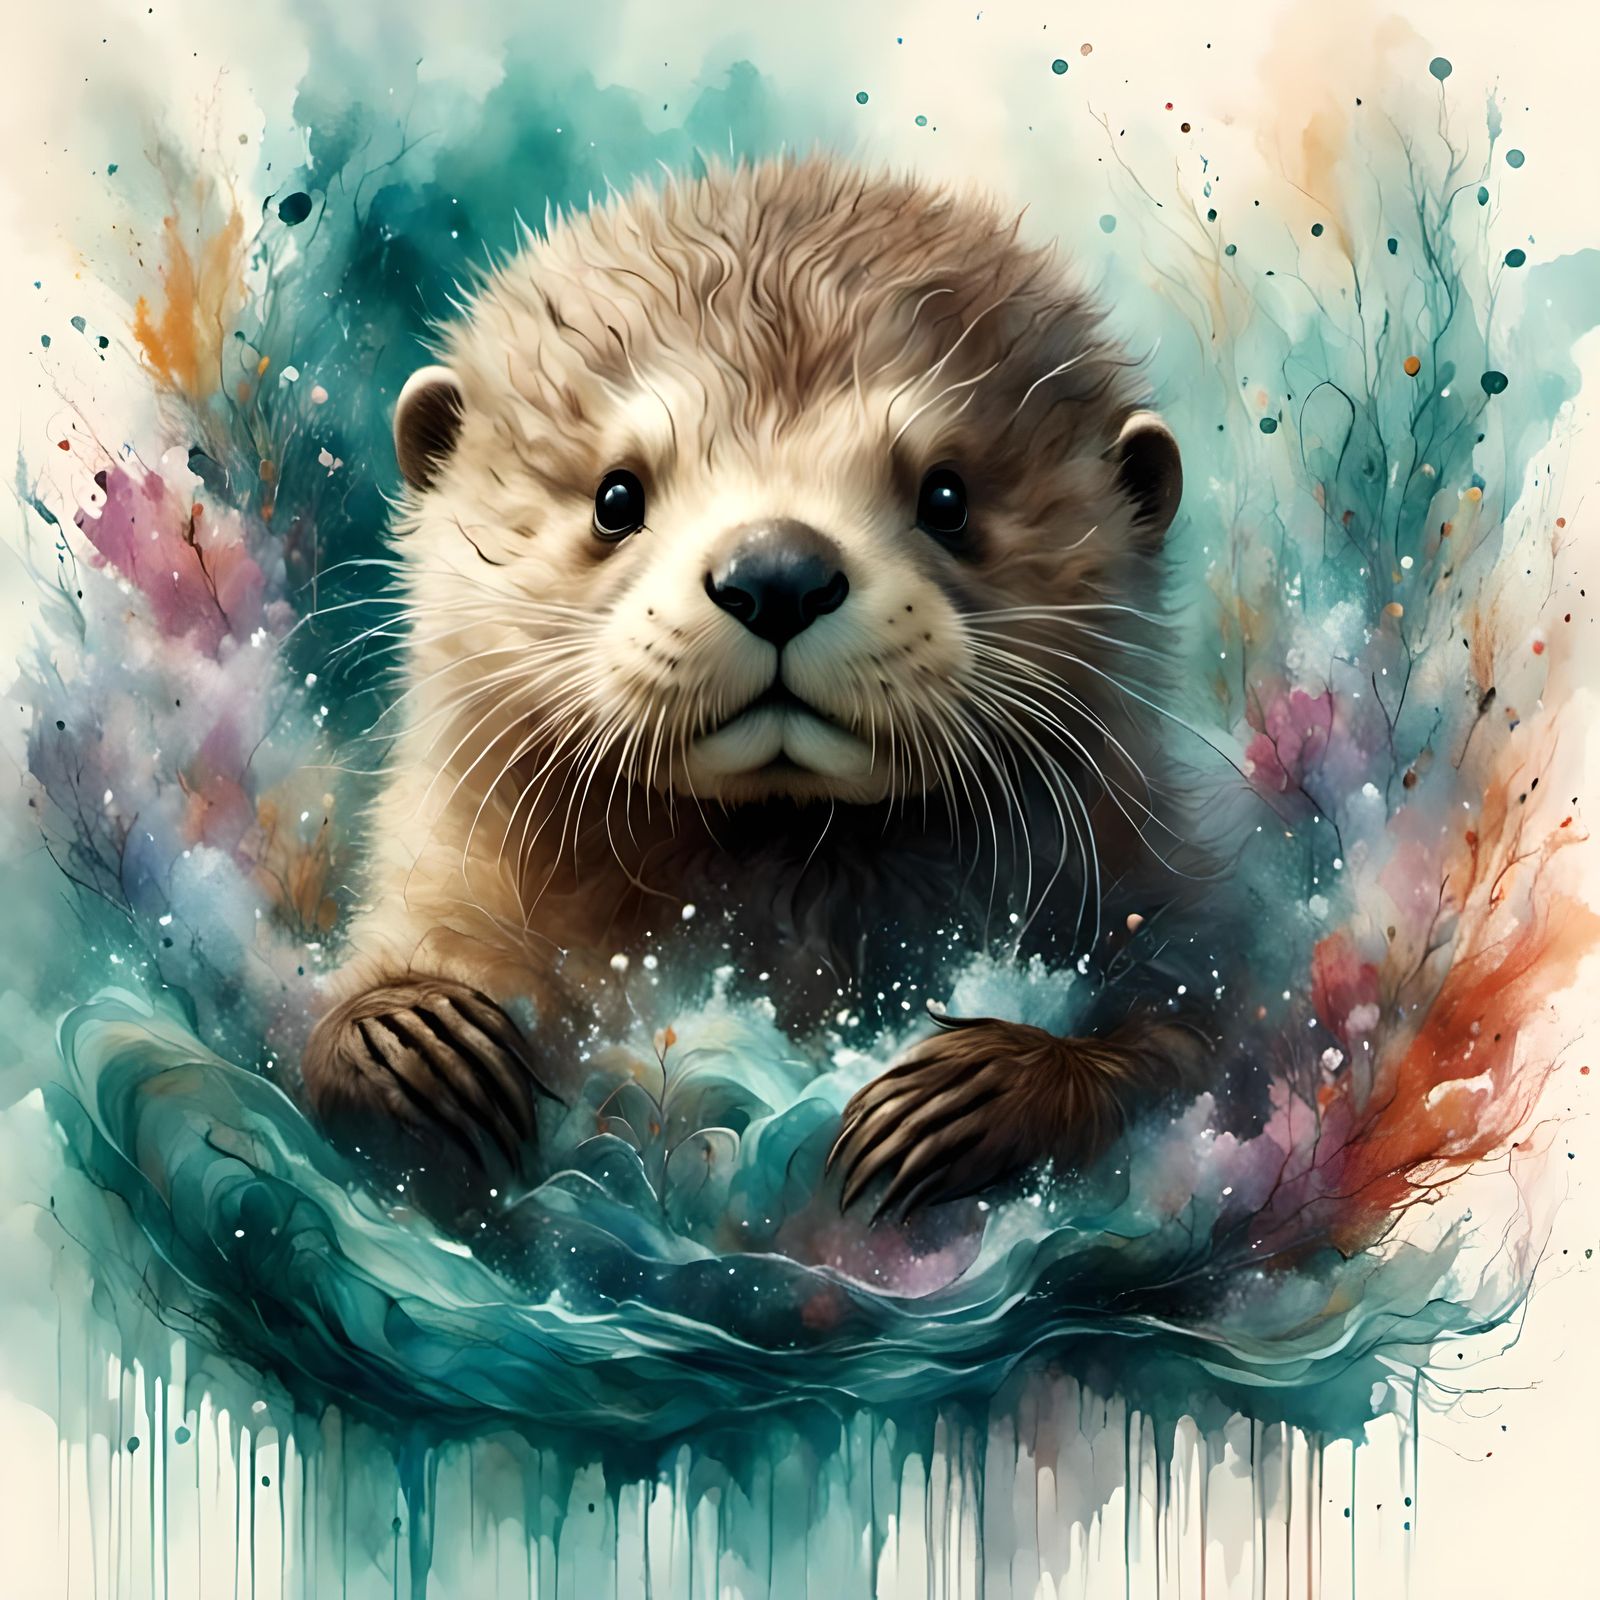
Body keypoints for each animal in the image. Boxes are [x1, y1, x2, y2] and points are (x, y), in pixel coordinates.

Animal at [303, 154, 1218, 1220]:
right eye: (616, 496)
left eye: (947, 496)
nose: (778, 570)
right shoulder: (439, 887)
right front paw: (416, 1045)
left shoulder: (1174, 911)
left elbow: (1189, 1051)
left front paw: (969, 1094)